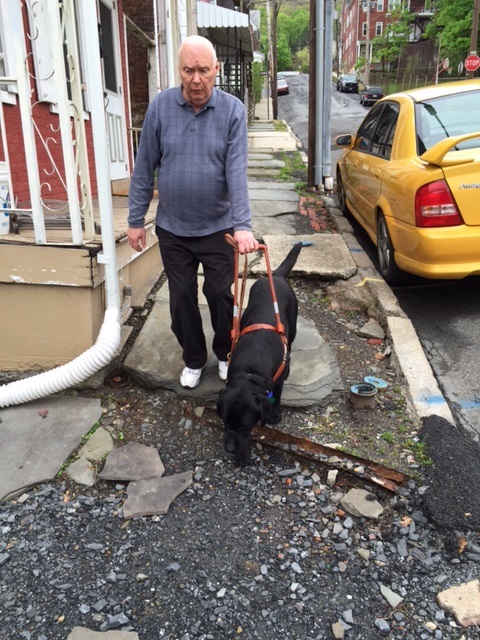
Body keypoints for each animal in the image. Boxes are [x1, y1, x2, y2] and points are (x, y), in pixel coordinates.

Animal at [217, 240, 304, 464]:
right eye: (224, 421)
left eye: (245, 425)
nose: (229, 448)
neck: (251, 373)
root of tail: (277, 276)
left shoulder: (277, 382)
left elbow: (277, 397)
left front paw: (274, 416)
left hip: (293, 323)